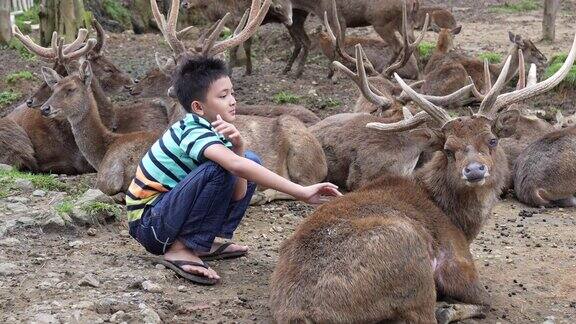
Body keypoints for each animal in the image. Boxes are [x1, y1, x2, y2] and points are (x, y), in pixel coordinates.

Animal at [268, 33, 576, 324]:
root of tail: (302, 314)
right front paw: (451, 308)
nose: (475, 170)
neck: (459, 221)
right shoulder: (457, 260)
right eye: (448, 149)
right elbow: (487, 300)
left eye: (492, 140)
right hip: (410, 255)